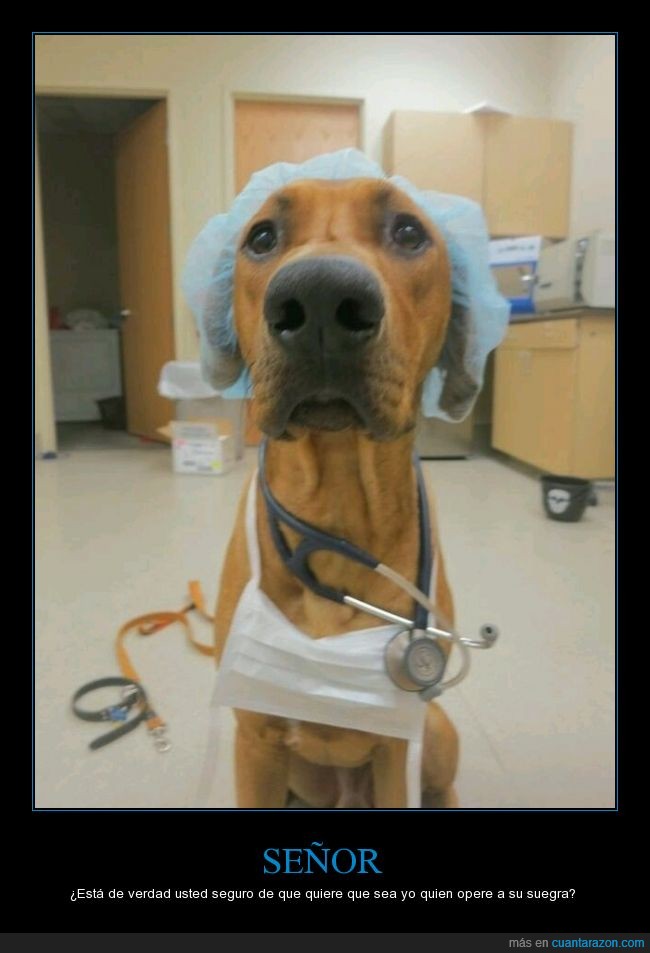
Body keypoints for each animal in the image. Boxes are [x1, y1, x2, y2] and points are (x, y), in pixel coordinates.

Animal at [212, 177, 463, 809]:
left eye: (407, 231)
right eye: (262, 237)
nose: (321, 297)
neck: (340, 504)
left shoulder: (398, 750)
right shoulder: (254, 739)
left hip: (436, 732)